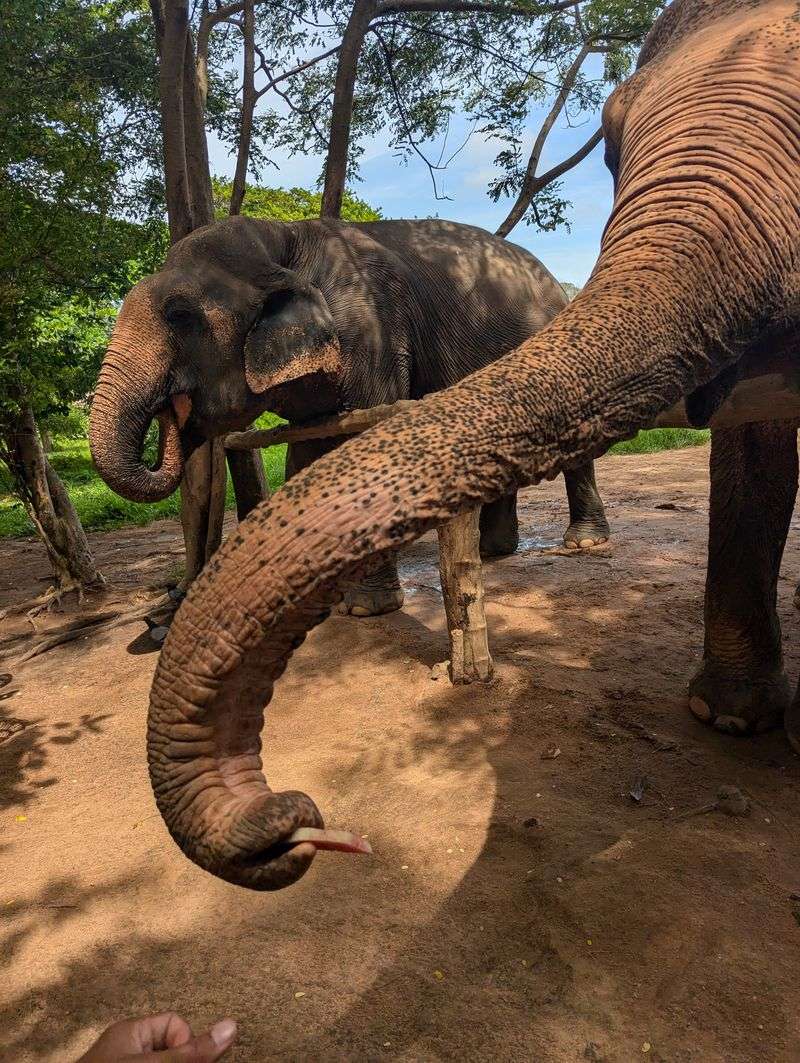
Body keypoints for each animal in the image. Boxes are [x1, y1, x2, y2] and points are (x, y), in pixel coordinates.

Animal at [89, 218, 610, 618]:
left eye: (180, 315)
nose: (172, 411)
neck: (285, 240)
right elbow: (304, 457)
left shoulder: (373, 331)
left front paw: (364, 608)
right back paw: (492, 551)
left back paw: (582, 544)